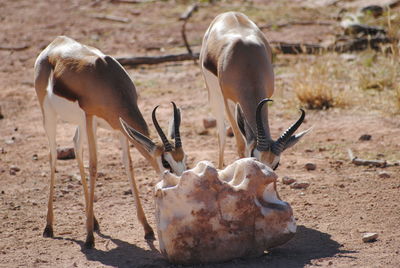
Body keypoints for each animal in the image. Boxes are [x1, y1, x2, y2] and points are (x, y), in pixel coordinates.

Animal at [33, 36, 187, 249]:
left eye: (184, 158)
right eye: (166, 162)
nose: (182, 183)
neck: (107, 78)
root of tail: (55, 43)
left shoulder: (120, 127)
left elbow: (128, 166)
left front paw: (147, 229)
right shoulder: (90, 118)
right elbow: (94, 166)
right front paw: (89, 238)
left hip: (81, 125)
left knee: (76, 147)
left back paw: (94, 221)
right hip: (50, 115)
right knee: (53, 156)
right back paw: (49, 227)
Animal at [200, 12, 310, 170]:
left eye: (276, 164)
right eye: (254, 157)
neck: (247, 60)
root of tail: (229, 13)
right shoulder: (228, 100)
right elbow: (240, 144)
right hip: (215, 95)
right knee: (221, 132)